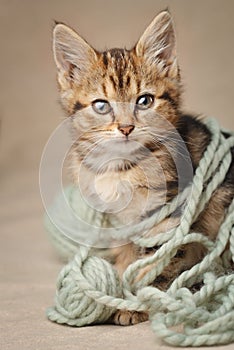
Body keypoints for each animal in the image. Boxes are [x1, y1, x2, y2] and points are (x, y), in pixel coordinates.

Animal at [52, 11, 233, 326]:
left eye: (144, 100)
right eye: (101, 105)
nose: (126, 127)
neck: (121, 167)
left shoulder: (166, 218)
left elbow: (156, 263)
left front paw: (136, 304)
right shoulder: (120, 222)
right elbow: (127, 258)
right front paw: (119, 290)